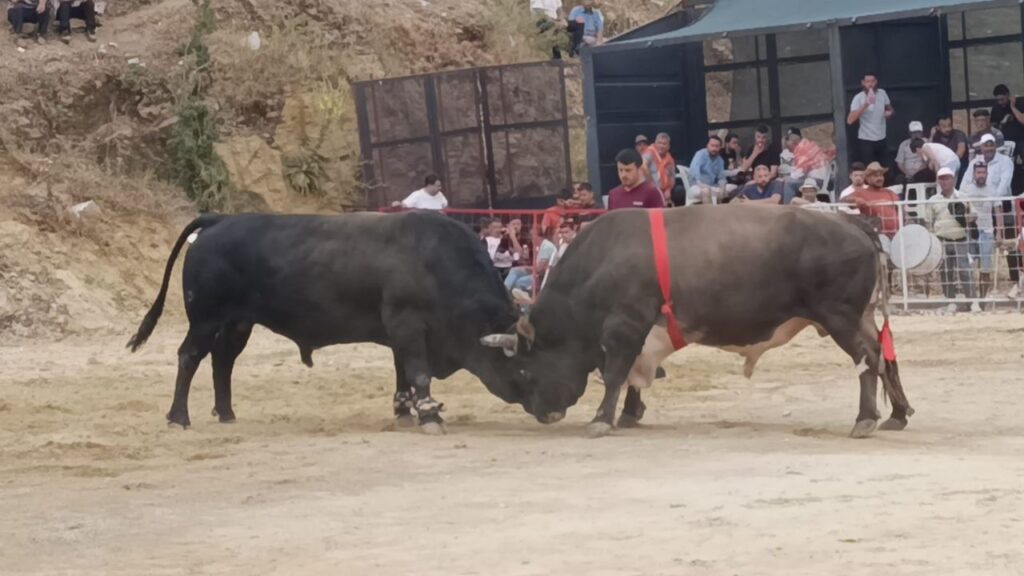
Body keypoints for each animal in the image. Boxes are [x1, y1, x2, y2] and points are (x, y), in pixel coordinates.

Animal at [128, 211, 528, 430]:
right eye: (525, 366)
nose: (536, 405)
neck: (434, 262)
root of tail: (219, 219)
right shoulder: (408, 328)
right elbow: (417, 372)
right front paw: (430, 416)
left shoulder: (399, 333)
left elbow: (403, 373)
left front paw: (404, 411)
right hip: (205, 319)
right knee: (190, 356)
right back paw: (179, 417)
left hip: (237, 323)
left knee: (222, 361)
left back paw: (226, 413)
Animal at [483, 203, 917, 436]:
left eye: (526, 369)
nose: (542, 414)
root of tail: (850, 222)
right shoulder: (638, 334)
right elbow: (631, 375)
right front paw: (629, 413)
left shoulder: (624, 326)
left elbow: (615, 373)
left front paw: (602, 418)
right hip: (859, 317)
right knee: (885, 355)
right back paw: (897, 414)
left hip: (840, 316)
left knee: (867, 359)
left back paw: (865, 419)